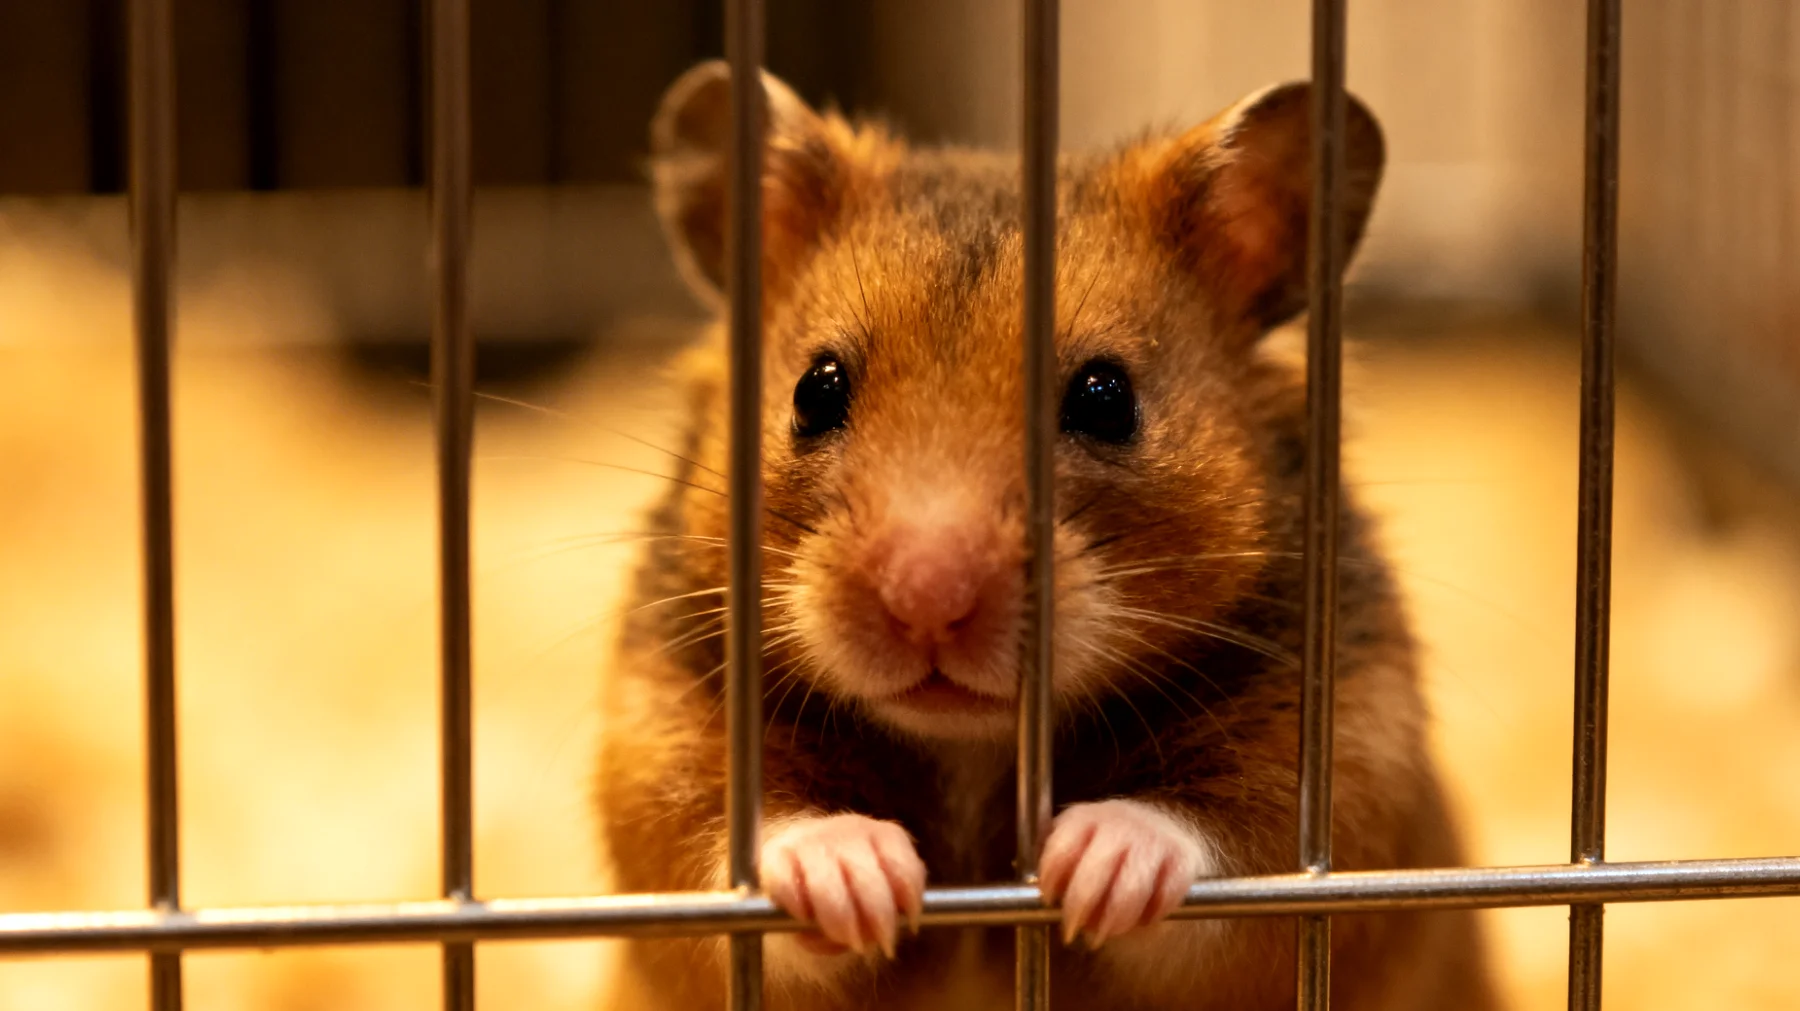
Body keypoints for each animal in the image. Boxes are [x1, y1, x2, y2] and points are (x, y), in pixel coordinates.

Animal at [596, 61, 1497, 1011]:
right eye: (815, 388)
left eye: (1106, 398)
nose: (927, 603)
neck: (971, 744)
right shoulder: (656, 735)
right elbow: (728, 847)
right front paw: (860, 876)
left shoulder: (1350, 757)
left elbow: (1225, 847)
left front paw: (1089, 865)